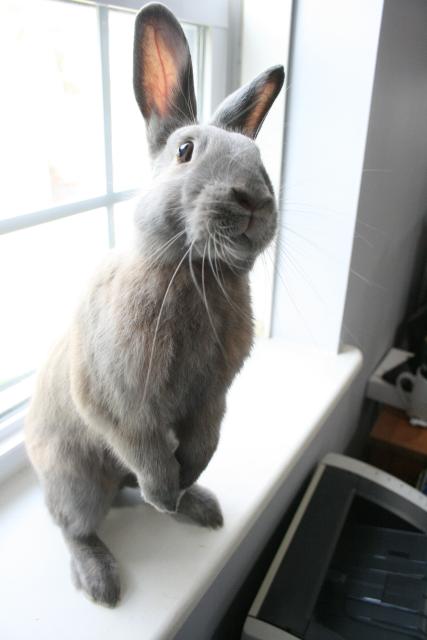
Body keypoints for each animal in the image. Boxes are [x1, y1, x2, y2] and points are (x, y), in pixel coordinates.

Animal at [25, 2, 284, 607]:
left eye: (258, 157)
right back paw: (102, 581)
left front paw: (182, 488)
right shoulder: (123, 405)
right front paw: (166, 494)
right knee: (76, 525)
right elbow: (143, 450)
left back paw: (199, 505)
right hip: (74, 482)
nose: (254, 200)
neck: (196, 274)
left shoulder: (211, 400)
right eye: (185, 151)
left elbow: (203, 444)